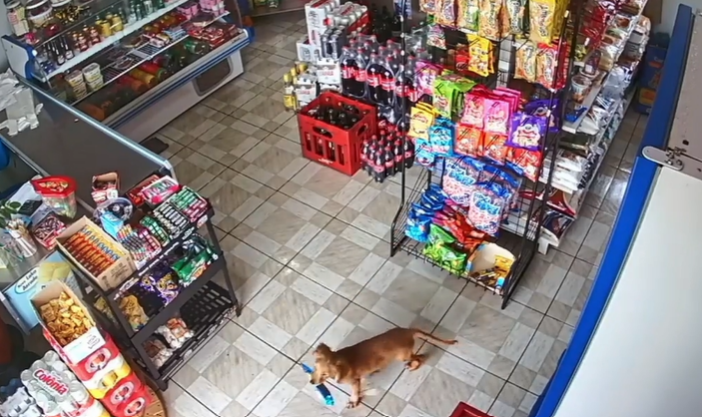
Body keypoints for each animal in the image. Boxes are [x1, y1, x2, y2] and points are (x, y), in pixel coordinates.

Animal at [312, 324, 456, 406]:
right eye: (315, 368)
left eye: (325, 374)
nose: (312, 382)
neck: (338, 358)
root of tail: (408, 331)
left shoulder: (354, 381)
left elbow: (355, 392)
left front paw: (354, 401)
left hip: (402, 355)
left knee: (421, 358)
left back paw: (413, 365)